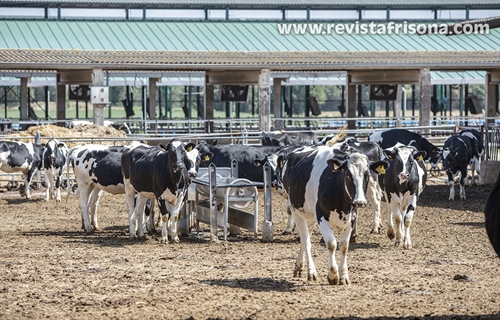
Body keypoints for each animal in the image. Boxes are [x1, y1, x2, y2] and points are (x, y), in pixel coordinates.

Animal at [282, 146, 386, 284]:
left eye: (367, 175)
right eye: (348, 175)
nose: (359, 202)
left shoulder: (351, 219)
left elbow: (344, 246)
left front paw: (344, 276)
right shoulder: (321, 217)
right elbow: (331, 244)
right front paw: (333, 275)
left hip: (308, 215)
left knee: (306, 238)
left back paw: (299, 266)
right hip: (296, 211)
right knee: (305, 240)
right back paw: (311, 271)